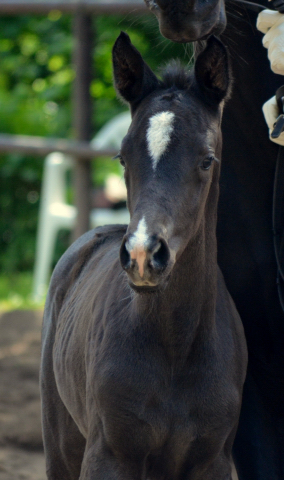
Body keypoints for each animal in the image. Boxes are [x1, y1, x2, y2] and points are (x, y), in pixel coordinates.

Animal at [41, 34, 247, 480]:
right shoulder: (108, 456)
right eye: (122, 157)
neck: (176, 346)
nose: (141, 254)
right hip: (61, 444)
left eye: (207, 159)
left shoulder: (214, 460)